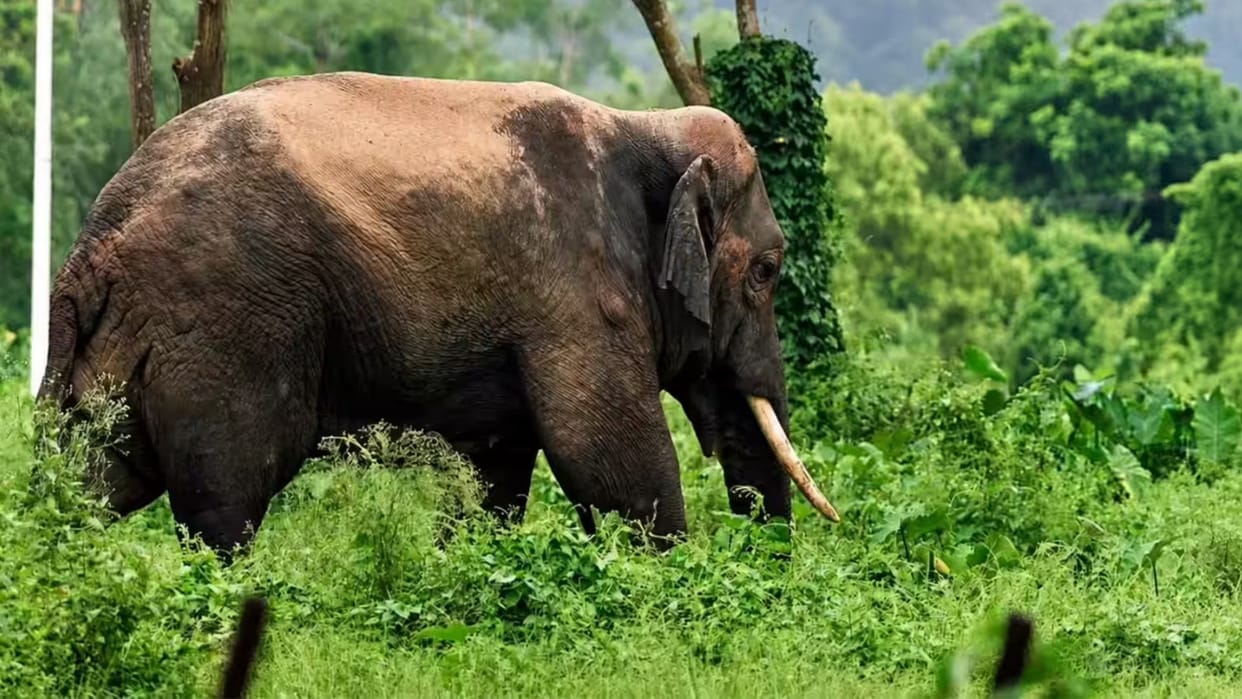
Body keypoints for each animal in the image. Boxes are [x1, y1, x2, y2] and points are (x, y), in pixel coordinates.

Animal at [37, 71, 839, 558]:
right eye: (767, 271)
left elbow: (497, 469)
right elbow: (607, 456)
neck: (643, 125)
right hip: (225, 324)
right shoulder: (575, 288)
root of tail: (93, 245)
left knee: (95, 480)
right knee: (224, 501)